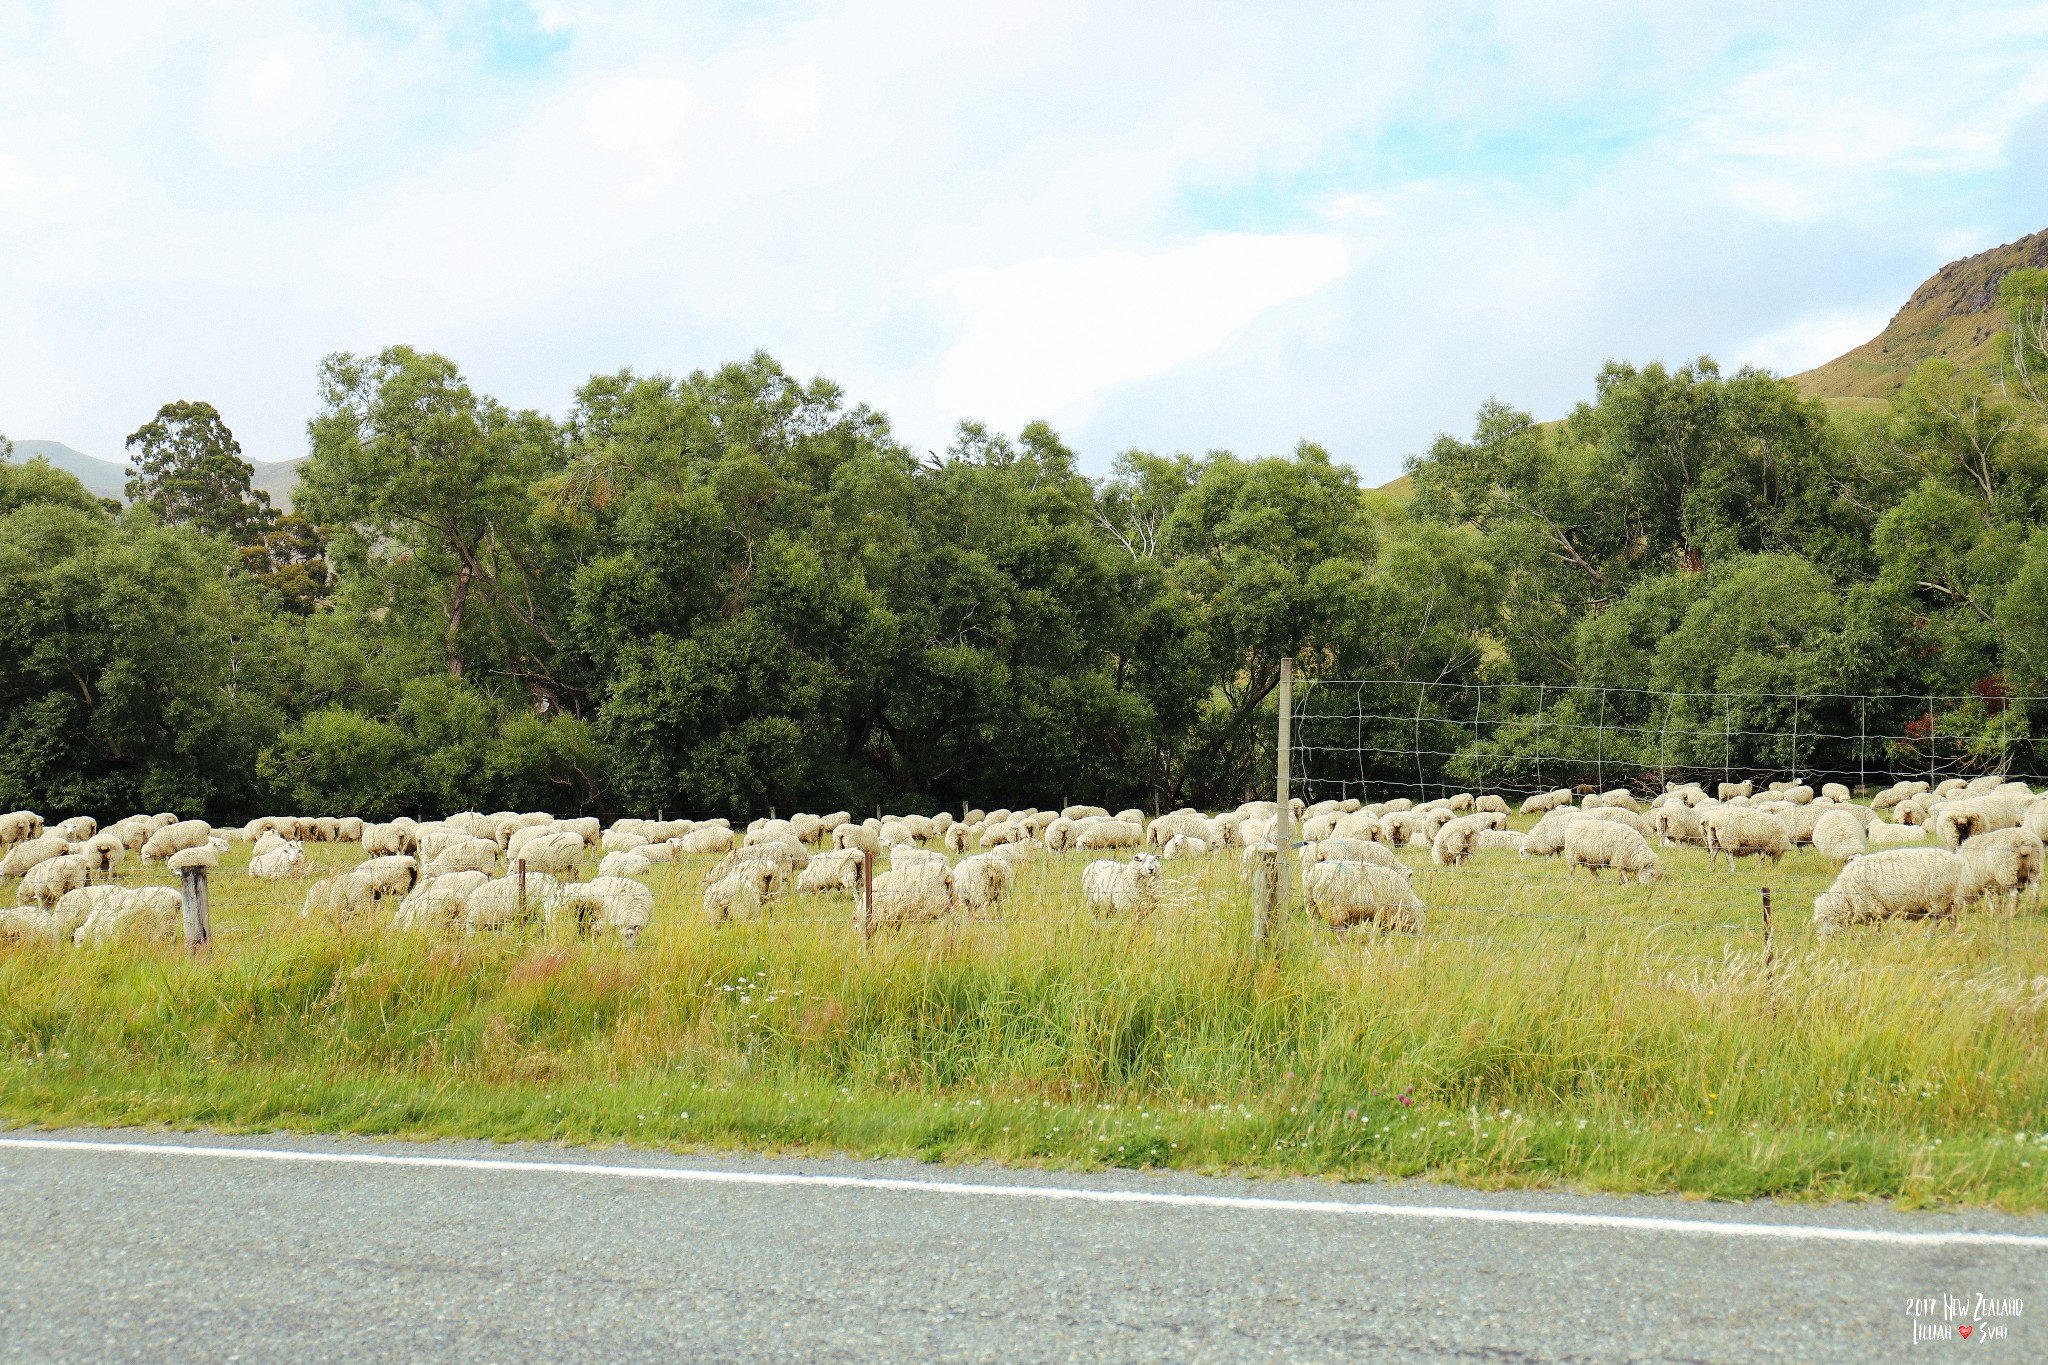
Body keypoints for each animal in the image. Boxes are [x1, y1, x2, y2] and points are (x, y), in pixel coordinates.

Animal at [1818, 843, 1974, 941]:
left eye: (1824, 920)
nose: (1822, 944)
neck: (1846, 896)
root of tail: (1956, 860)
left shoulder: (1873, 907)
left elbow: (1877, 927)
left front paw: (1878, 940)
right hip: (1947, 899)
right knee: (1952, 919)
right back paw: (1951, 937)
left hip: (1938, 896)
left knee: (1937, 919)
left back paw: (1928, 938)